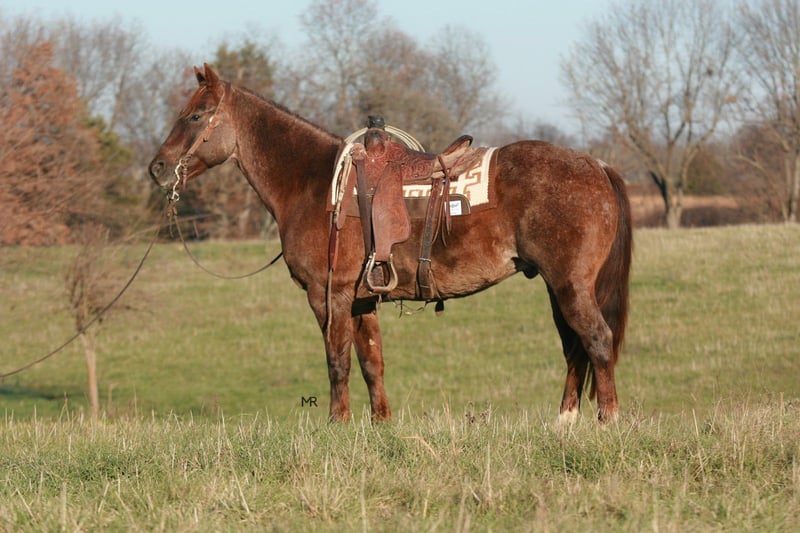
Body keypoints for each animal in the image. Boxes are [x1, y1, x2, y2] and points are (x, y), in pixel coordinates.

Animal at [148, 64, 632, 423]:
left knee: (596, 339)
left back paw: (607, 421)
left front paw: (337, 424)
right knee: (575, 346)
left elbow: (337, 359)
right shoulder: (362, 298)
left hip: (569, 285)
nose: (157, 167)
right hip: (556, 287)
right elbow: (370, 362)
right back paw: (565, 422)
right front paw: (381, 424)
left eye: (195, 116)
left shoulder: (330, 294)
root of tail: (596, 164)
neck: (314, 185)